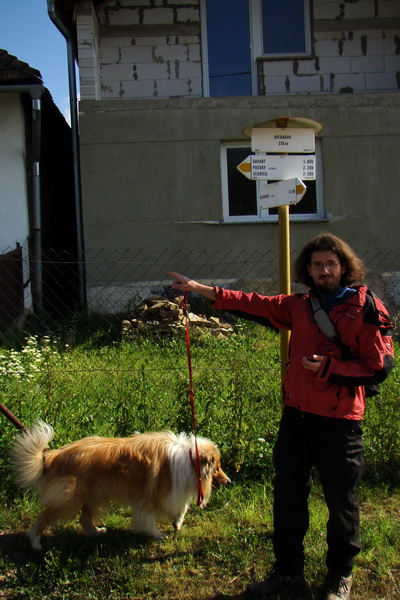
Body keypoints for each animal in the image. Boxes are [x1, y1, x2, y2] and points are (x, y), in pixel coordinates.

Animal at [12, 422, 230, 548]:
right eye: (217, 468)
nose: (229, 481)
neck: (190, 458)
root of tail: (53, 456)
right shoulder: (151, 496)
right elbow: (149, 519)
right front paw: (157, 535)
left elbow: (181, 507)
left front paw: (177, 522)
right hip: (69, 499)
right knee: (43, 519)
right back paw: (35, 542)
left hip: (94, 495)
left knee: (84, 519)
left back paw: (96, 532)